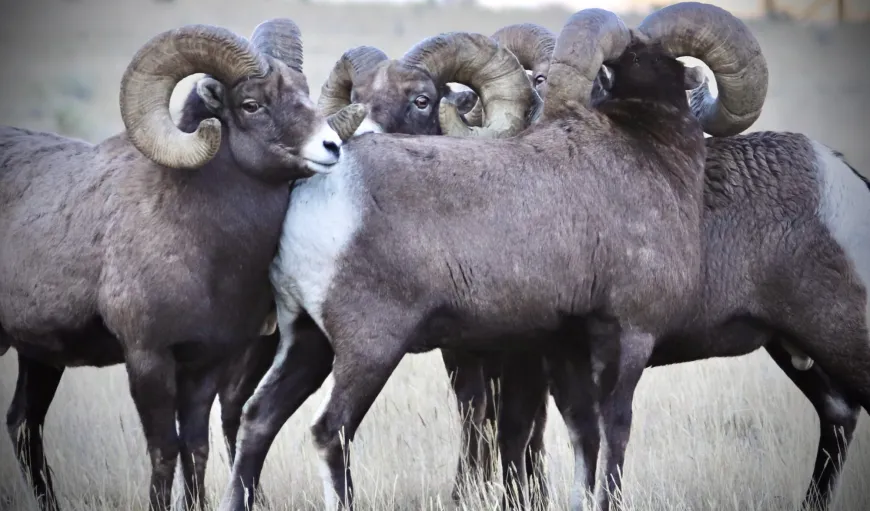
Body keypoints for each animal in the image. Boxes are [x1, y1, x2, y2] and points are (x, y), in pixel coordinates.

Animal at [0, 18, 366, 511]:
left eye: (304, 92)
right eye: (252, 104)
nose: (330, 147)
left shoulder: (204, 366)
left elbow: (195, 447)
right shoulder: (148, 359)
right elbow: (164, 449)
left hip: (40, 357)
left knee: (25, 425)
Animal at [216, 3, 770, 510]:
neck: (648, 151)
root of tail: (319, 191)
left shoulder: (561, 347)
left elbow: (579, 434)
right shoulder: (628, 335)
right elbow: (613, 430)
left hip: (306, 342)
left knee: (257, 419)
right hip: (370, 348)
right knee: (330, 431)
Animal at [452, 20, 870, 511]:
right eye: (536, 77)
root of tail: (841, 178)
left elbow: (544, 439)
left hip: (837, 333)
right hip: (793, 346)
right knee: (838, 413)